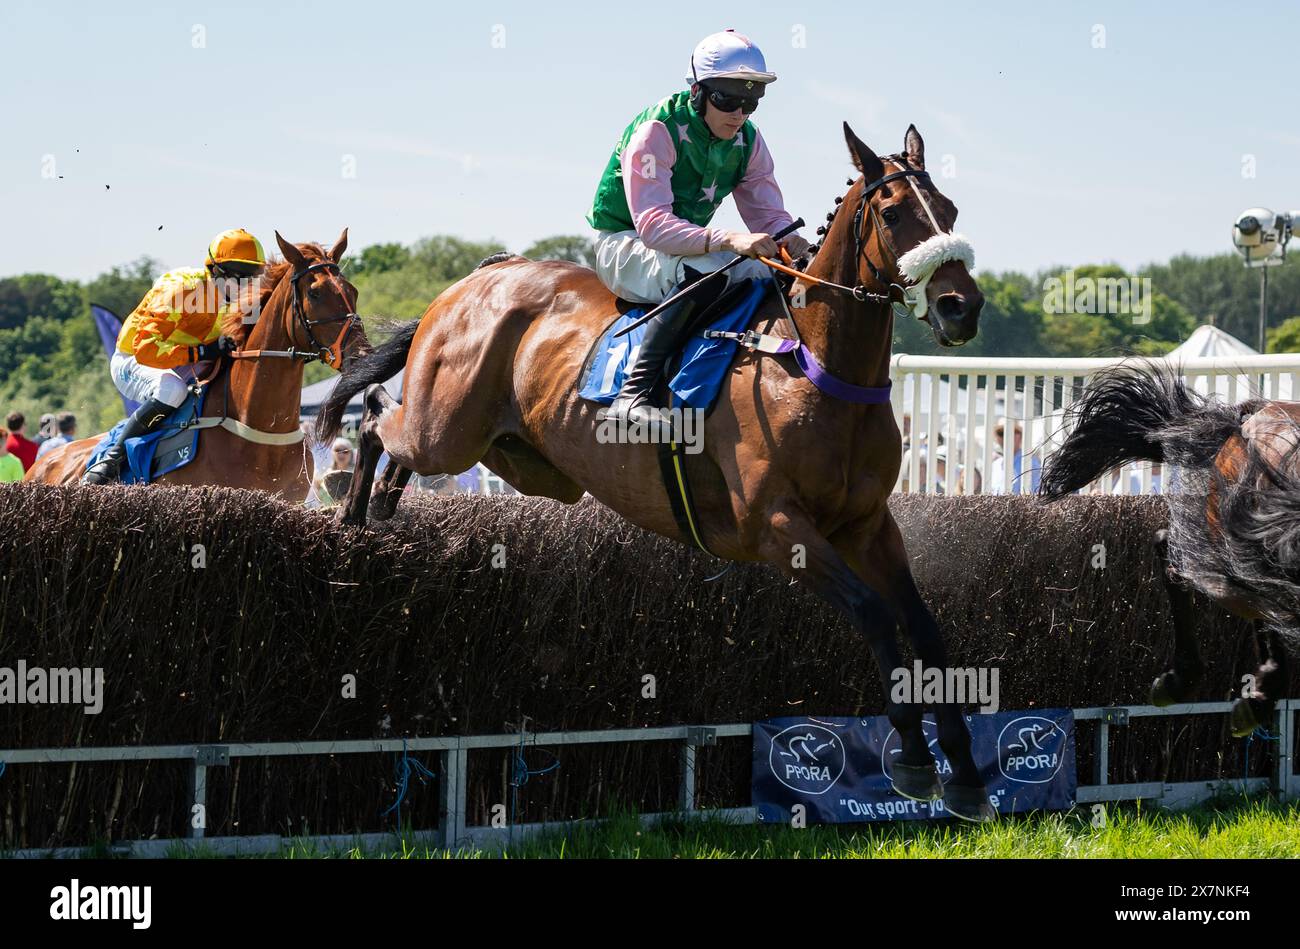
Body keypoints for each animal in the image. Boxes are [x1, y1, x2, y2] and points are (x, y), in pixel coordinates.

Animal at [30, 230, 366, 499]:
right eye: (315, 292)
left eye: (352, 290)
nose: (362, 354)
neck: (261, 436)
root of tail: (44, 461)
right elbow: (149, 342)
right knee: (167, 389)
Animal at [319, 124, 987, 821]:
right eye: (893, 214)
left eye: (951, 210)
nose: (960, 307)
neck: (810, 362)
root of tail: (482, 274)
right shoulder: (777, 527)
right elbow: (875, 615)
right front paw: (913, 759)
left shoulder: (867, 523)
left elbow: (923, 626)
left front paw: (964, 771)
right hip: (446, 432)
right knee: (376, 419)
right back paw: (351, 518)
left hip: (515, 454)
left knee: (402, 437)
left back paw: (384, 504)